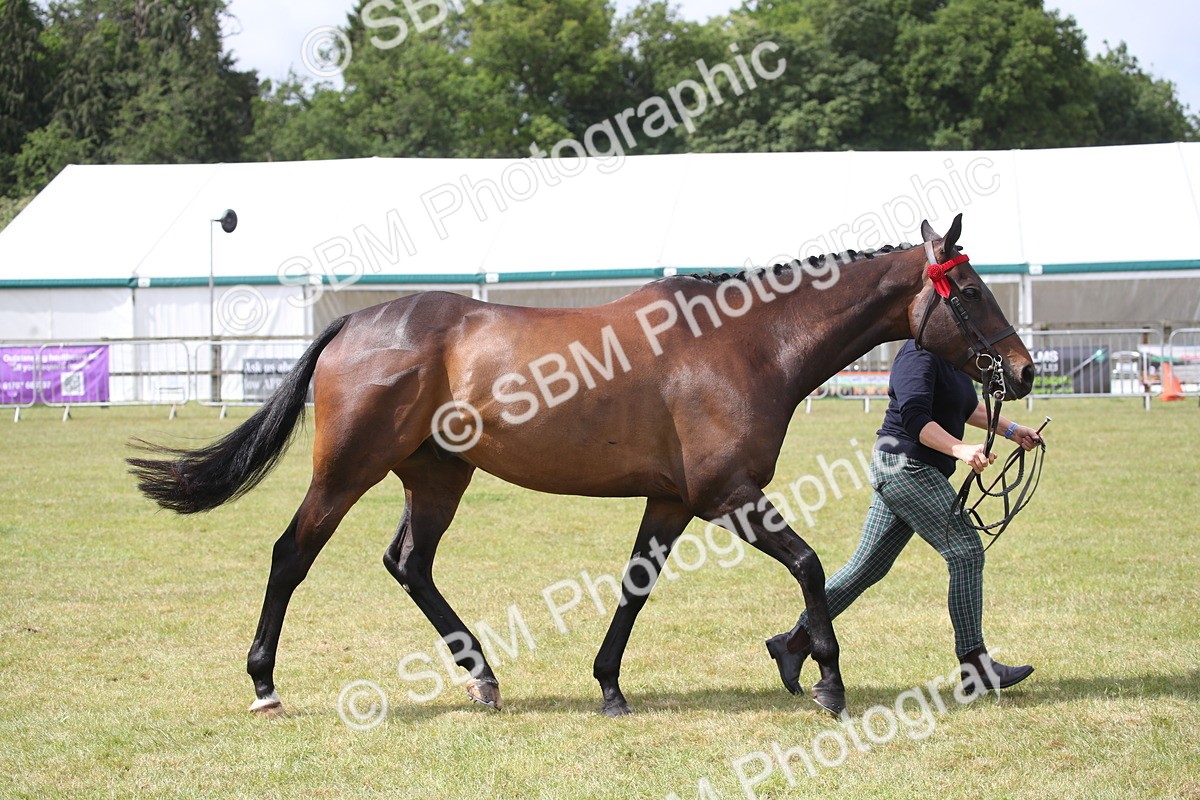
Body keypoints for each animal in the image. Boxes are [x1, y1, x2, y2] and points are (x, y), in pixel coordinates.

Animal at [129, 214, 1035, 718]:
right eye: (973, 291)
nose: (1022, 371)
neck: (745, 343)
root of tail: (355, 323)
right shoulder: (728, 496)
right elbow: (811, 566)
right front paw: (826, 680)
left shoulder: (672, 502)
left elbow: (635, 588)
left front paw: (609, 686)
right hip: (347, 471)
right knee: (292, 555)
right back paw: (265, 683)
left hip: (437, 476)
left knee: (410, 564)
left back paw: (483, 678)